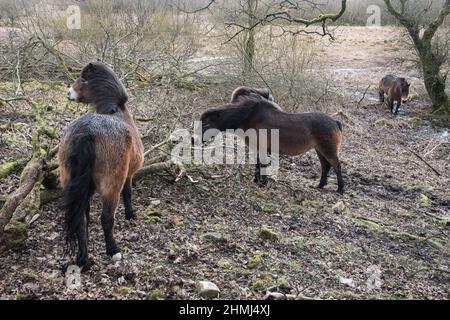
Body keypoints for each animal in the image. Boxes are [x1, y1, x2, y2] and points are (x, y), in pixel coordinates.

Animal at [59, 61, 144, 268]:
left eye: (83, 79)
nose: (69, 92)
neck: (117, 111)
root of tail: (87, 132)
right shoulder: (128, 175)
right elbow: (128, 193)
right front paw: (130, 214)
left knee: (80, 221)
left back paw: (83, 259)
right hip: (110, 189)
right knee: (106, 219)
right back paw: (113, 251)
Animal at [200, 92, 344, 192]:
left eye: (205, 123)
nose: (195, 139)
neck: (250, 117)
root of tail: (334, 122)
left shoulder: (263, 148)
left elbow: (262, 165)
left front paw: (262, 183)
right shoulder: (258, 148)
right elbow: (258, 164)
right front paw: (257, 180)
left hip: (328, 150)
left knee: (336, 166)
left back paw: (340, 189)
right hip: (319, 149)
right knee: (325, 166)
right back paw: (320, 185)